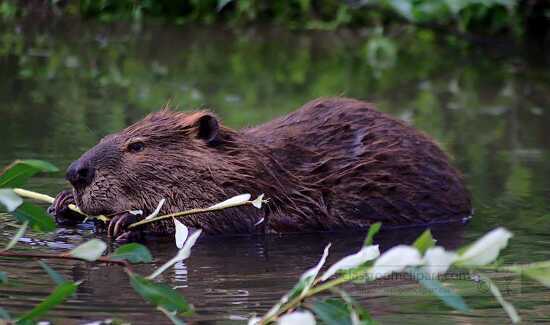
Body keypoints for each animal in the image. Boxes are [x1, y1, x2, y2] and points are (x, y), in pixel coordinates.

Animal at [49, 96, 472, 240]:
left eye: (136, 146)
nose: (76, 172)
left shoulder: (265, 193)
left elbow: (227, 220)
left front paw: (128, 220)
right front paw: (62, 203)